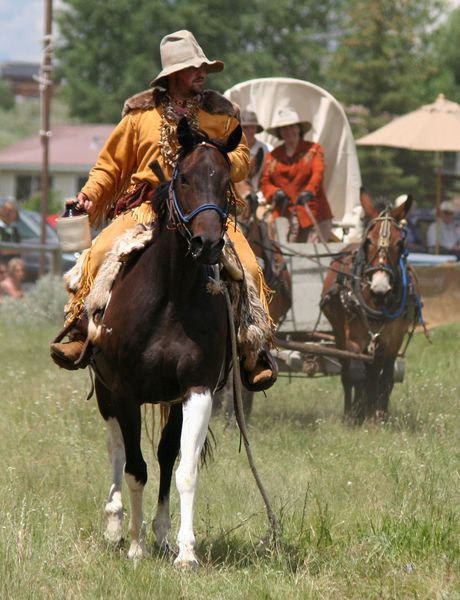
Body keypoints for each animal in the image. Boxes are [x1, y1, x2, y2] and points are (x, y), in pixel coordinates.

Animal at [94, 118, 244, 568]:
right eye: (185, 178)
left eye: (226, 181)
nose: (207, 243)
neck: (171, 297)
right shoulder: (124, 392)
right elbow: (134, 469)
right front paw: (135, 545)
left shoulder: (196, 390)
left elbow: (184, 469)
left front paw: (185, 551)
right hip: (105, 391)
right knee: (116, 448)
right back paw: (115, 525)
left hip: (171, 400)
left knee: (164, 454)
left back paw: (162, 535)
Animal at [320, 195, 420, 424]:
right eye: (369, 241)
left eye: (400, 243)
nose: (380, 287)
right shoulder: (354, 339)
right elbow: (357, 375)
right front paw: (356, 413)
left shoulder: (393, 339)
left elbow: (386, 378)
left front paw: (379, 416)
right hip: (339, 334)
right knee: (349, 372)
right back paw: (353, 410)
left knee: (374, 371)